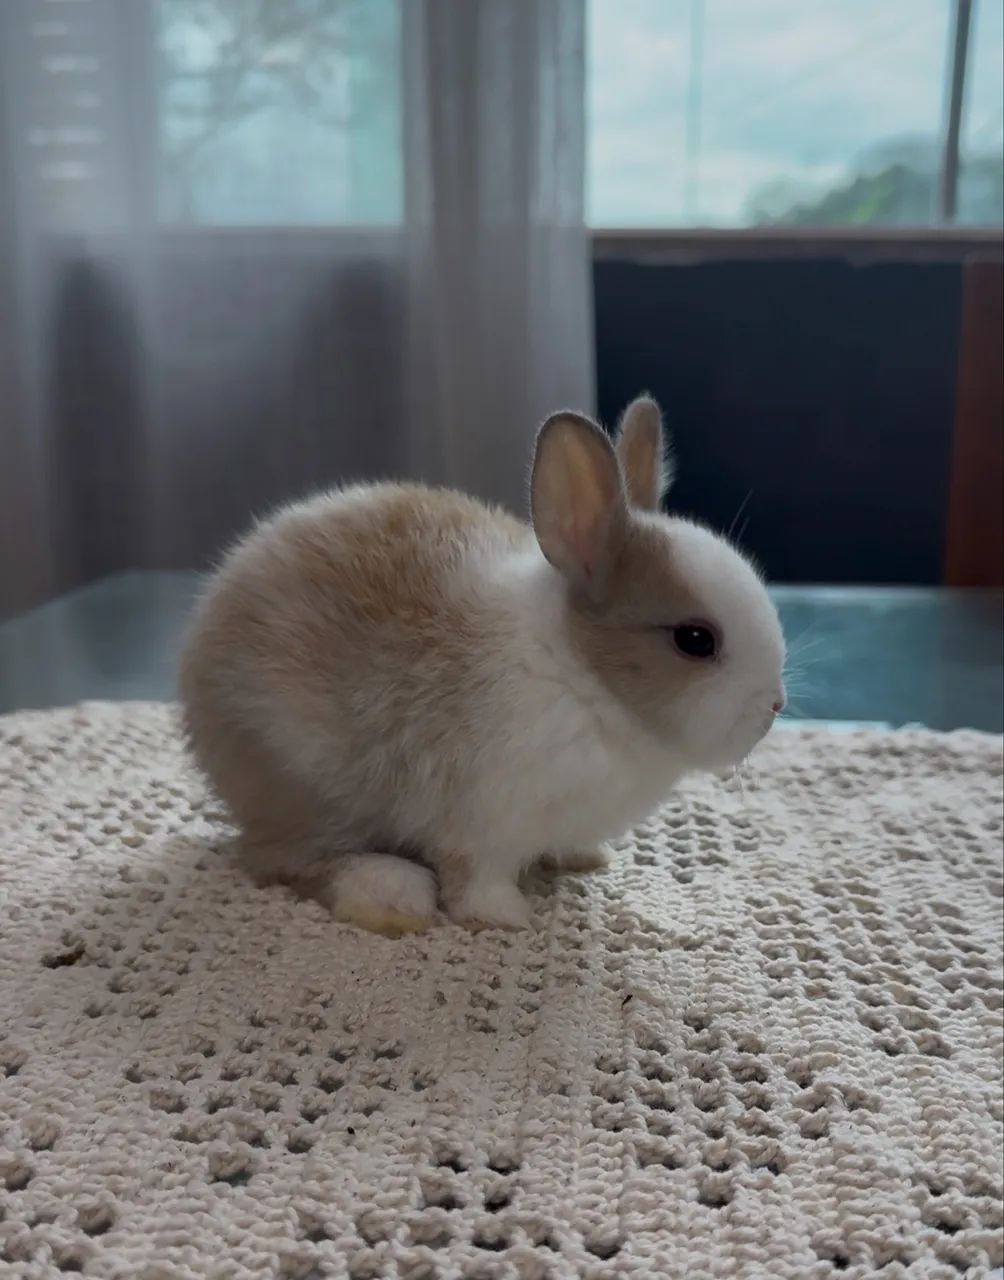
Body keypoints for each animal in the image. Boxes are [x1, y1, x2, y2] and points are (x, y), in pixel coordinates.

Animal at [179, 396, 786, 934]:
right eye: (695, 640)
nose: (775, 708)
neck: (579, 675)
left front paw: (584, 857)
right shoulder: (481, 819)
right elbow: (475, 877)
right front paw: (507, 917)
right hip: (298, 777)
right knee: (282, 859)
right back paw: (391, 896)